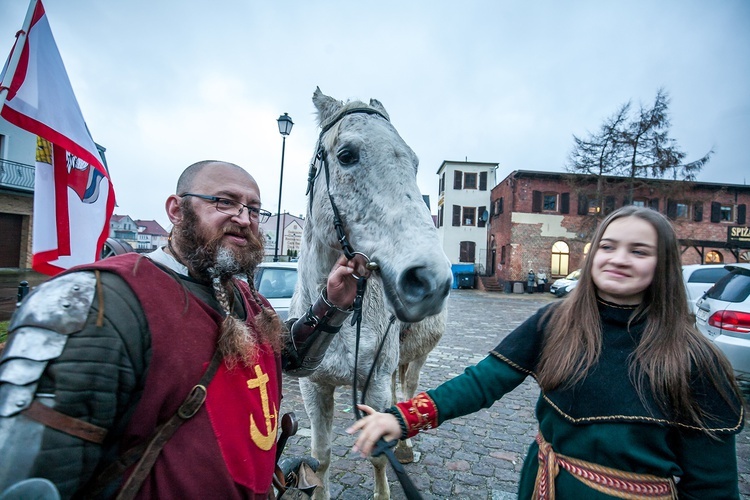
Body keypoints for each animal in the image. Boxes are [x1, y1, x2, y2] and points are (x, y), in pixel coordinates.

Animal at [290, 90, 450, 500]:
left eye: (413, 163)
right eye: (347, 155)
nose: (430, 280)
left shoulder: (373, 383)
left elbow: (379, 454)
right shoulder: (313, 386)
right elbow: (321, 457)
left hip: (414, 357)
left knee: (407, 390)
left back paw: (406, 448)